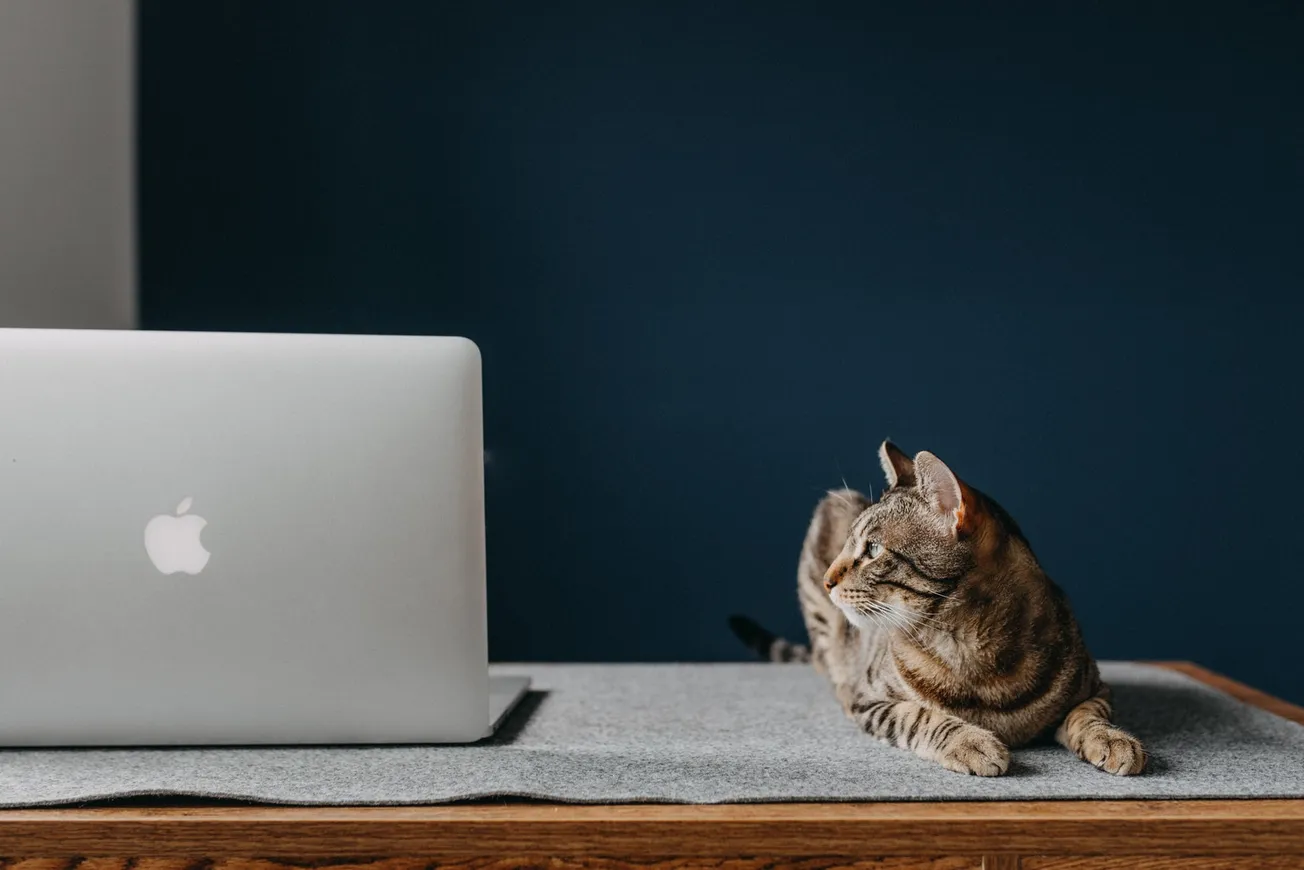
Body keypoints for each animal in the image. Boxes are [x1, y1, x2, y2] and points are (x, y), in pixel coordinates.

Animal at [730, 443, 1147, 777]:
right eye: (851, 545)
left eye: (873, 549)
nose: (828, 581)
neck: (973, 653)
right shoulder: (871, 700)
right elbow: (920, 716)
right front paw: (972, 742)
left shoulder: (1095, 686)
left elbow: (1088, 715)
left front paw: (1113, 740)